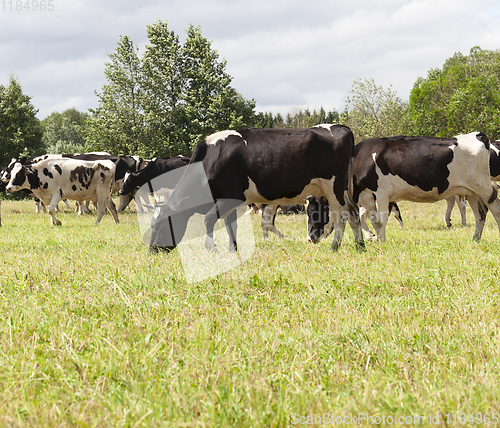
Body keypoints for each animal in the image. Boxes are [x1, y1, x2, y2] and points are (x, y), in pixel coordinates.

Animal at [148, 126, 364, 254]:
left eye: (160, 225)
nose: (152, 250)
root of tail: (341, 128)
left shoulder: (229, 197)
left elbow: (208, 219)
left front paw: (212, 247)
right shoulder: (230, 201)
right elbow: (231, 225)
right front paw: (232, 249)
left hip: (333, 188)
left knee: (340, 217)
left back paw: (335, 246)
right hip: (343, 190)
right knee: (353, 213)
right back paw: (359, 245)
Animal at [350, 132, 500, 242]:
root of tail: (478, 135)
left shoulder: (381, 193)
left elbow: (380, 221)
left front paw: (382, 242)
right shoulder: (368, 199)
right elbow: (369, 219)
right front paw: (372, 237)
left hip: (483, 187)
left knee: (495, 208)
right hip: (471, 191)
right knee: (480, 214)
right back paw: (475, 239)